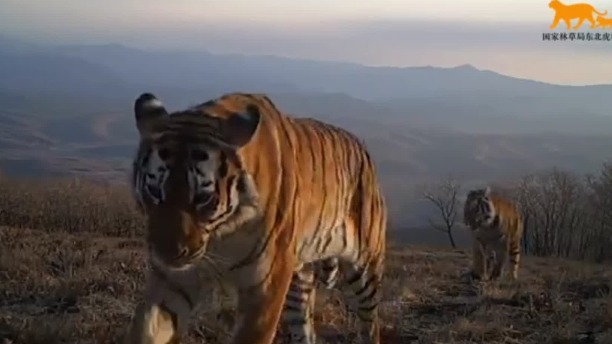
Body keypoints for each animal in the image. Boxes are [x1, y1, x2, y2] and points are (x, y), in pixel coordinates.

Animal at [124, 92, 388, 344]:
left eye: (202, 198)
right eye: (154, 191)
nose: (168, 254)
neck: (222, 233)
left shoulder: (265, 287)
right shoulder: (172, 282)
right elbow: (149, 330)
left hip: (365, 268)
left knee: (370, 325)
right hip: (299, 284)